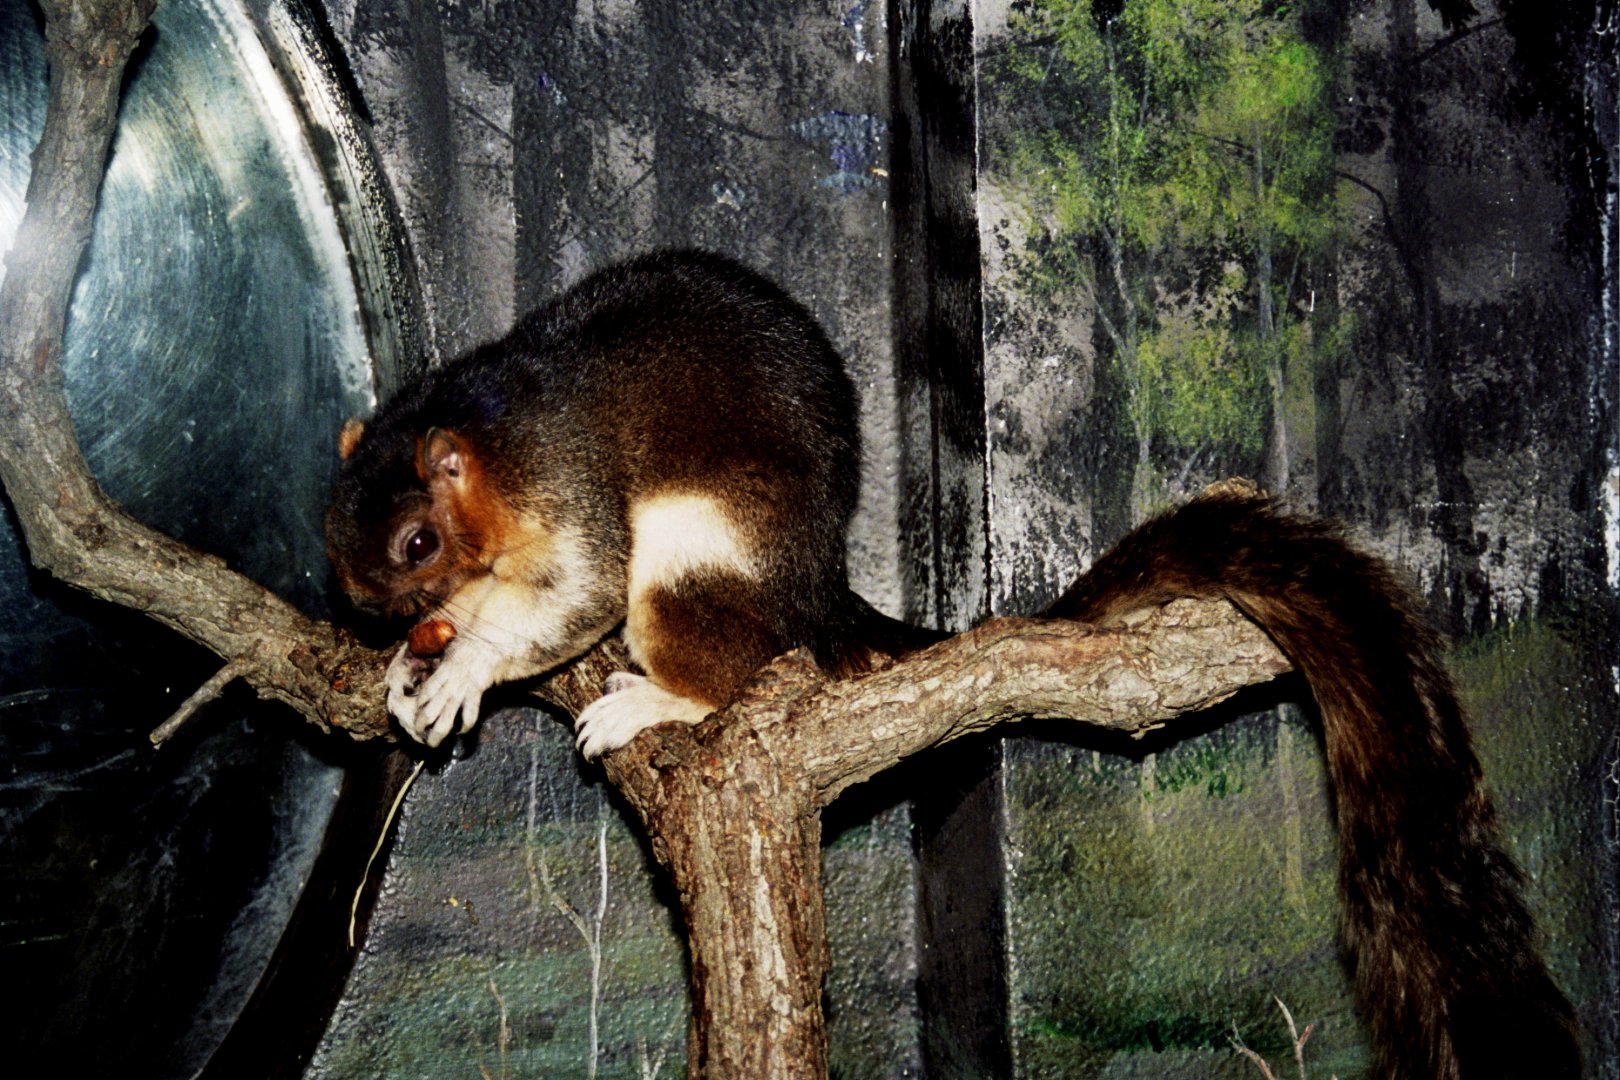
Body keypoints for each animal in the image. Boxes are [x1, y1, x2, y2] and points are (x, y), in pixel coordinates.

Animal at [325, 249, 1578, 1078]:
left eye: (417, 541)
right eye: (333, 530)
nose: (368, 605)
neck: (492, 429)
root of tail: (819, 589)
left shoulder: (576, 497)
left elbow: (568, 601)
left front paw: (460, 669)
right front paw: (414, 656)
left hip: (691, 556)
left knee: (726, 657)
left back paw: (652, 698)